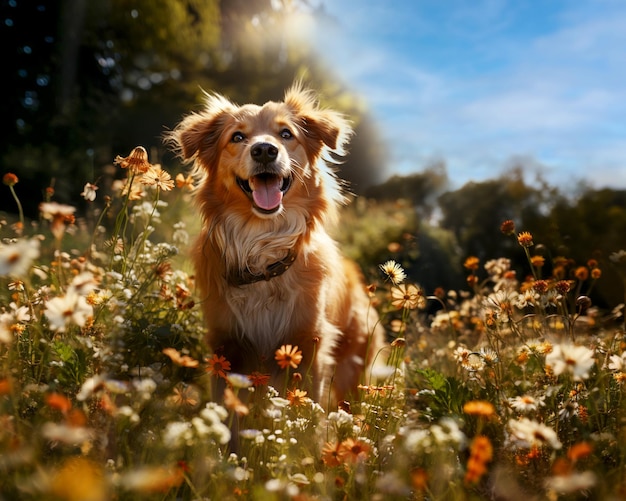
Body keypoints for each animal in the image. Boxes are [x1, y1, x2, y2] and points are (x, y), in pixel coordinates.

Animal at [169, 84, 386, 404]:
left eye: (286, 134)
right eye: (237, 137)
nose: (264, 150)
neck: (263, 246)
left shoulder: (308, 346)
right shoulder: (226, 347)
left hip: (352, 374)